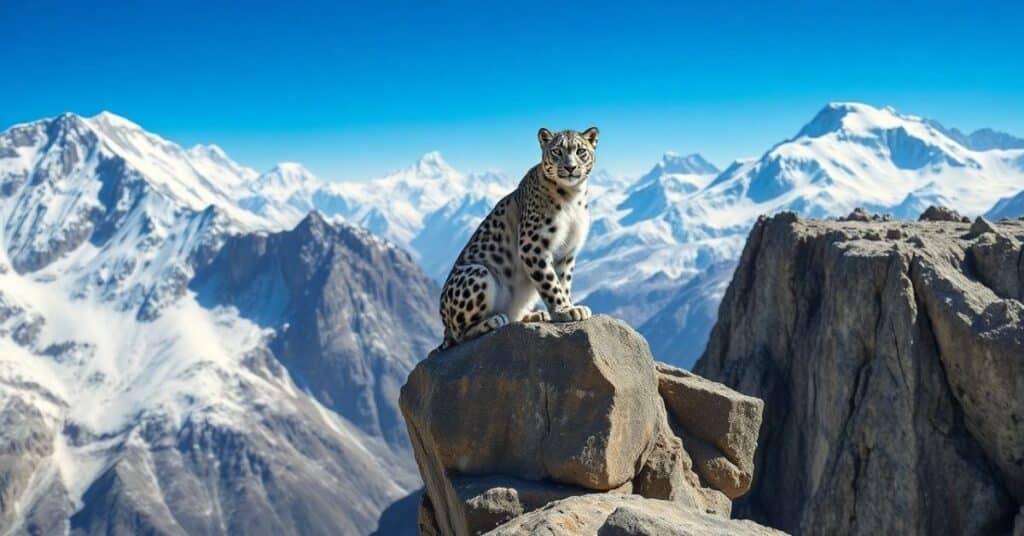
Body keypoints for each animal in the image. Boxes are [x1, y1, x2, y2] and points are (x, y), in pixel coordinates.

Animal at [434, 128, 598, 350]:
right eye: (557, 151)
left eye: (581, 151)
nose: (570, 167)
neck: (573, 196)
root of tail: (444, 325)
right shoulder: (534, 245)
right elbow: (550, 282)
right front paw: (564, 310)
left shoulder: (567, 251)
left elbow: (563, 281)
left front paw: (568, 306)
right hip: (477, 272)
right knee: (459, 335)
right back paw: (494, 320)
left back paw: (535, 315)